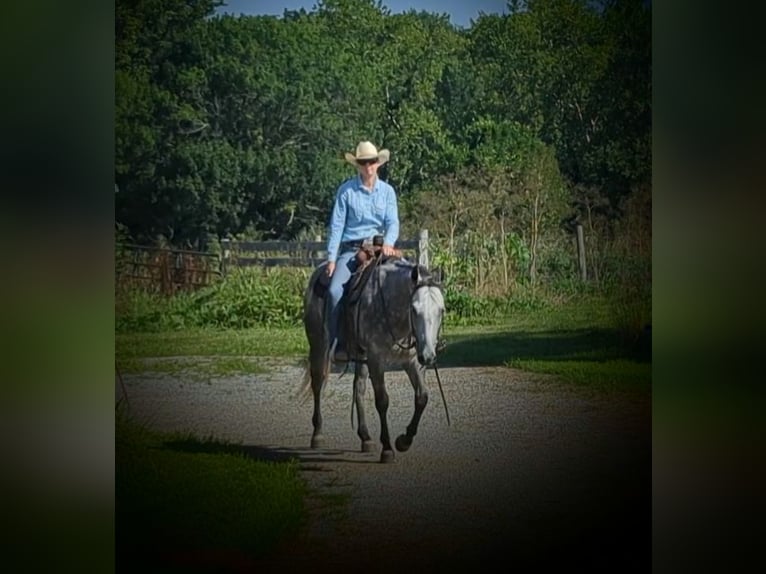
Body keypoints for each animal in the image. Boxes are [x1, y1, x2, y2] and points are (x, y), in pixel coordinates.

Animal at [304, 258, 448, 466]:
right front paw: (387, 449)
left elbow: (422, 397)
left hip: (361, 358)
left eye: (441, 310)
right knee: (318, 384)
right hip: (318, 347)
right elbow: (382, 401)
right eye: (414, 309)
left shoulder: (412, 362)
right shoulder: (376, 359)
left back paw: (366, 438)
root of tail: (318, 272)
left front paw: (404, 441)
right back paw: (317, 434)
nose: (429, 355)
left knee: (359, 388)